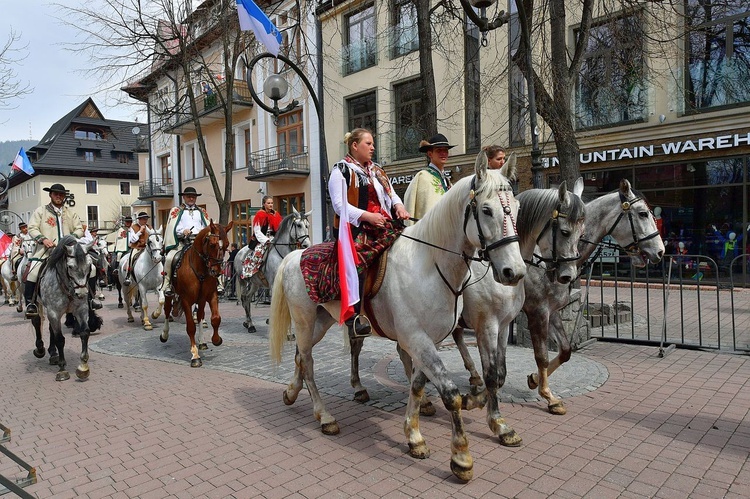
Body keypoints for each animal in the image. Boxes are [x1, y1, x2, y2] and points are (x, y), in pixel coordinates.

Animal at [157, 222, 231, 368]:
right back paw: (164, 334)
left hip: (200, 300)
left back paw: (202, 342)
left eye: (227, 244)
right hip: (169, 294)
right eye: (212, 244)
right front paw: (195, 356)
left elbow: (215, 319)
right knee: (167, 311)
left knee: (201, 315)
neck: (199, 268)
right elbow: (190, 327)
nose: (216, 271)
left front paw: (216, 339)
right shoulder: (186, 300)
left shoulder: (211, 295)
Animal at [274, 153, 524, 484]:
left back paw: (291, 393)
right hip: (303, 322)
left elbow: (418, 384)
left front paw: (414, 436)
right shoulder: (426, 336)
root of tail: (295, 255)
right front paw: (461, 457)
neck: (429, 265)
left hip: (320, 322)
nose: (514, 272)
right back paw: (324, 416)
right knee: (309, 363)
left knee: (301, 359)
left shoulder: (428, 339)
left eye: (517, 207)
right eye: (486, 210)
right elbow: (451, 393)